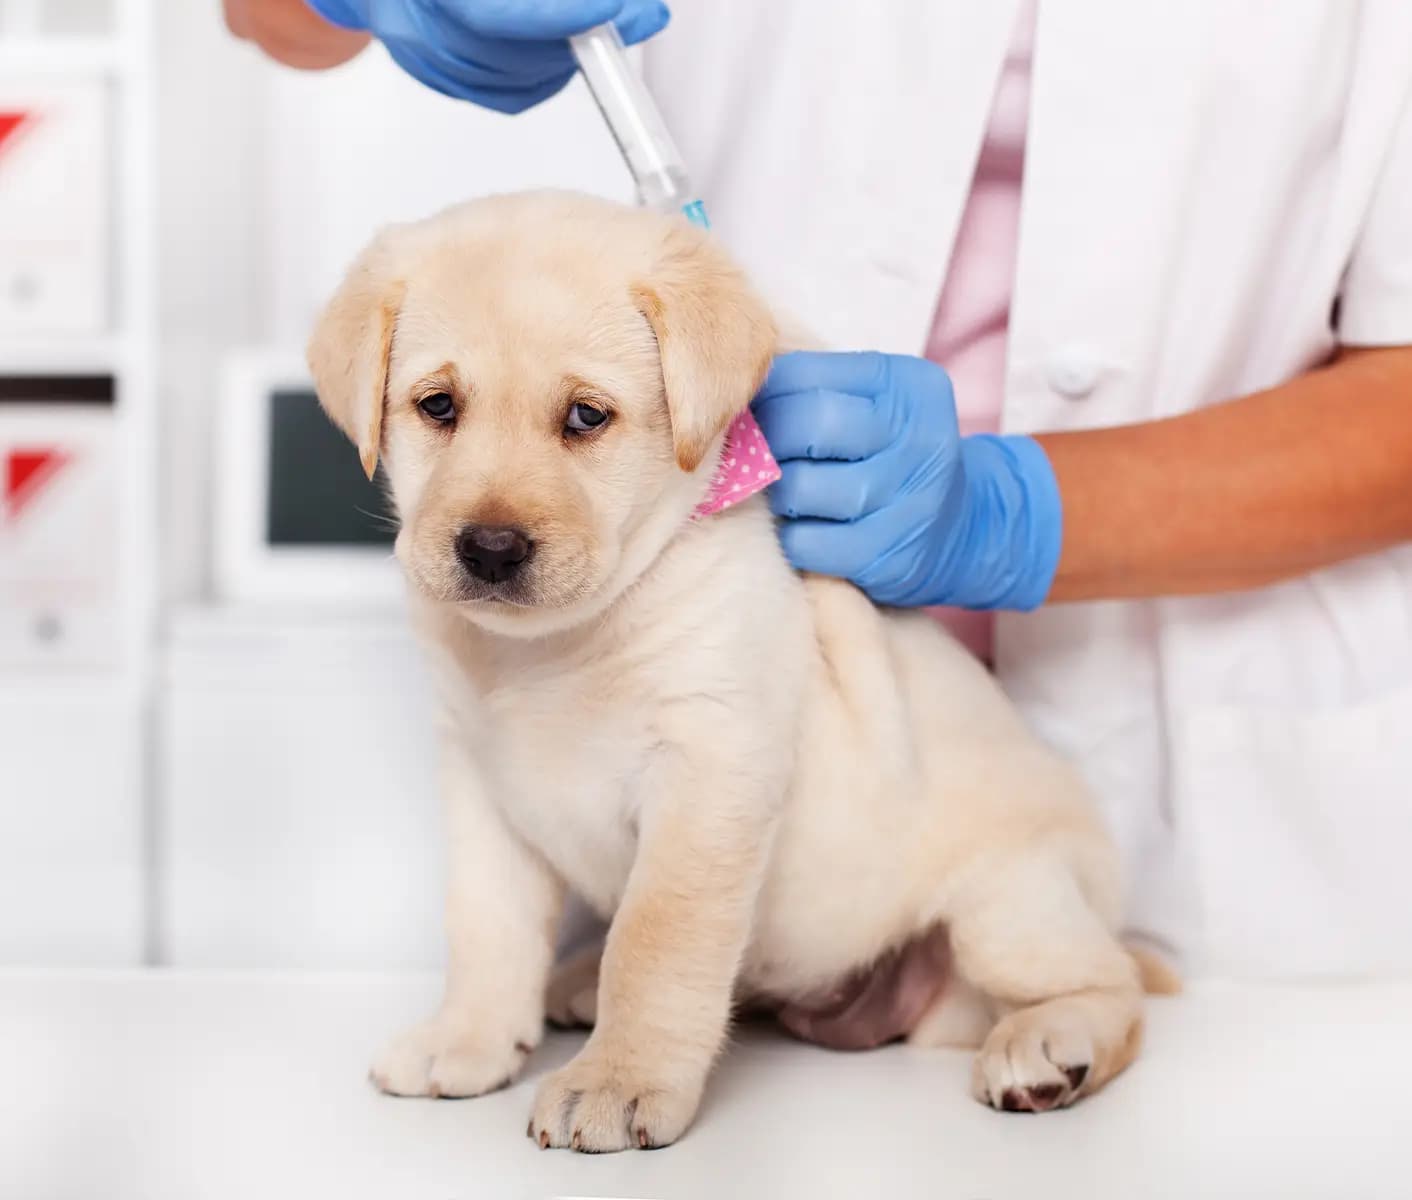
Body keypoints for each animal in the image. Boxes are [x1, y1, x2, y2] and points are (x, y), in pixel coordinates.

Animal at [306, 189, 1157, 1152]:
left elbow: (656, 940)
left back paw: (1050, 1047)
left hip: (1007, 902)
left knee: (1111, 983)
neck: (556, 646)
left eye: (586, 417)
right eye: (438, 405)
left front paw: (620, 1080)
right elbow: (488, 927)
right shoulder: (483, 789)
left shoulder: (709, 764)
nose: (488, 548)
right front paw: (468, 1038)